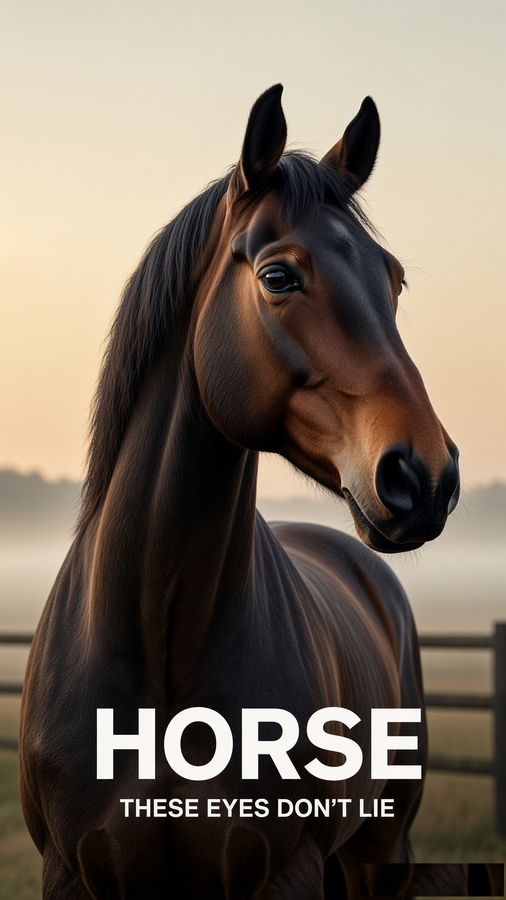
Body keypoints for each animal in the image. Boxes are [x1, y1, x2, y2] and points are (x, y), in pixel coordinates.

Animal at [20, 85, 460, 898]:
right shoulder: (69, 872)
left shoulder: (285, 871)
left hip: (380, 848)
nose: (426, 476)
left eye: (393, 280)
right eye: (278, 276)